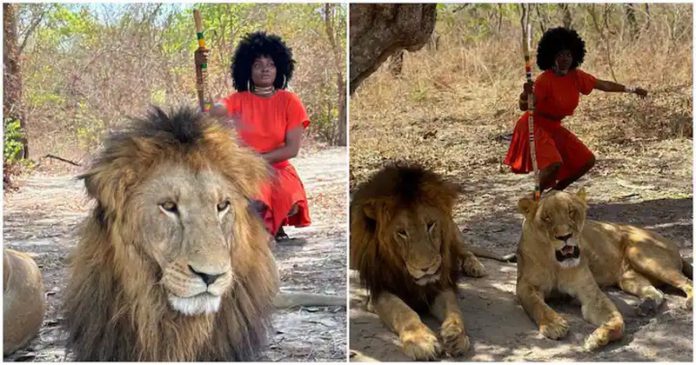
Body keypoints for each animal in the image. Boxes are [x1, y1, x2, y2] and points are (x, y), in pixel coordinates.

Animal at [350, 164, 486, 358]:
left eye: (430, 224)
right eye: (402, 232)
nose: (426, 268)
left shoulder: (440, 284)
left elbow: (453, 308)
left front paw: (456, 335)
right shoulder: (379, 289)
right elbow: (403, 311)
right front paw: (420, 341)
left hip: (454, 233)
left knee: (465, 250)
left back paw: (475, 266)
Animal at [516, 189, 692, 348]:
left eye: (571, 212)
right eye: (546, 218)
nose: (565, 236)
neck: (556, 264)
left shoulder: (590, 292)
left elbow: (617, 319)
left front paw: (600, 337)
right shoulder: (525, 285)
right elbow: (536, 305)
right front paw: (553, 325)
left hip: (642, 255)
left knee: (687, 282)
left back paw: (688, 302)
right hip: (628, 278)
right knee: (657, 291)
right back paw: (647, 306)